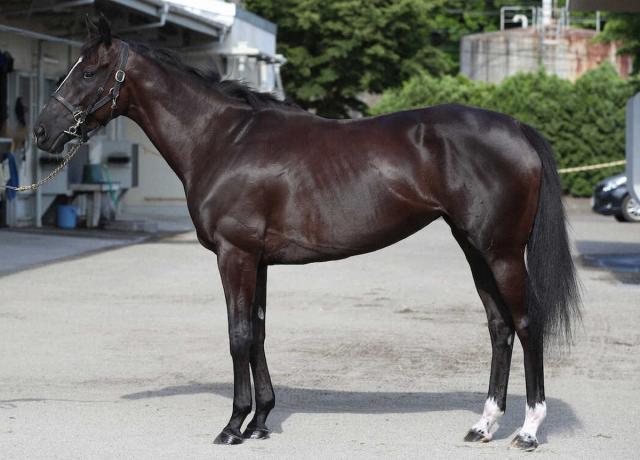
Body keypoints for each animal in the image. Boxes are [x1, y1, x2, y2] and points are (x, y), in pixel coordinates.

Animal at [33, 17, 580, 450]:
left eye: (87, 71)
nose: (42, 132)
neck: (223, 140)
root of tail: (517, 127)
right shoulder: (256, 261)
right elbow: (257, 333)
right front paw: (260, 422)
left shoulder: (234, 255)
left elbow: (237, 335)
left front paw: (232, 426)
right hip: (474, 249)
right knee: (499, 327)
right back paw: (484, 425)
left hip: (501, 252)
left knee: (526, 325)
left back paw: (528, 430)